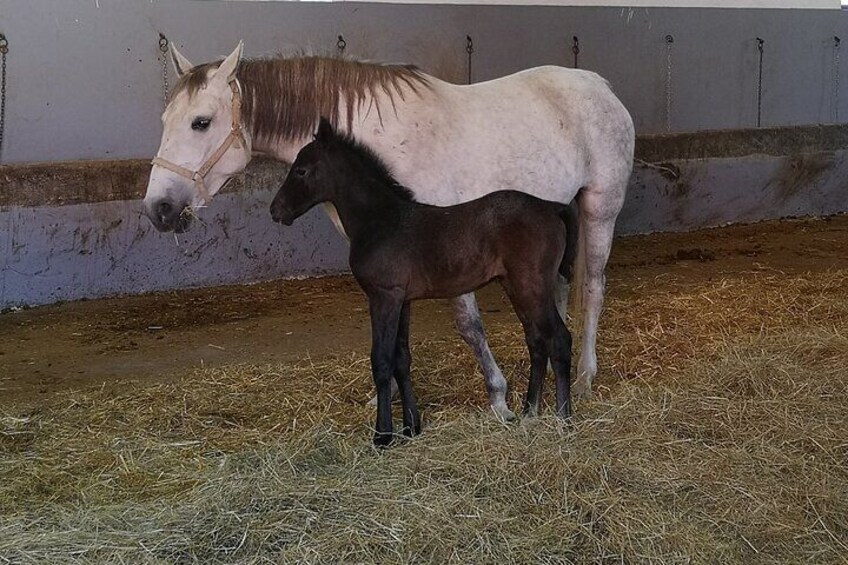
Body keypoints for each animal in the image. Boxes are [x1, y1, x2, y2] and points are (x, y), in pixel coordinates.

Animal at [142, 40, 632, 418]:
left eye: (201, 122)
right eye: (164, 121)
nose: (158, 209)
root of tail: (600, 87)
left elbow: (468, 324)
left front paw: (498, 398)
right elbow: (398, 337)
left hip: (599, 209)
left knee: (593, 287)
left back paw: (585, 379)